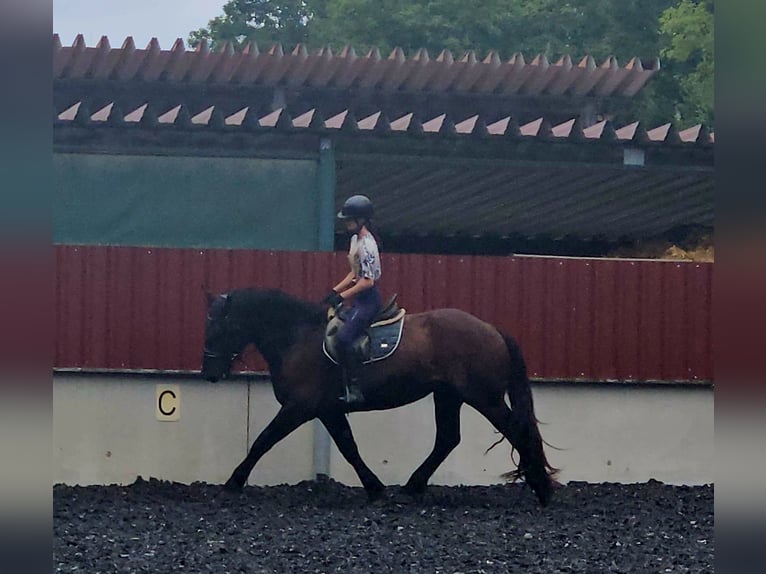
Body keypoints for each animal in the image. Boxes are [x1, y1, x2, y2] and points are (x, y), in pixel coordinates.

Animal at [201, 290, 560, 506]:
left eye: (219, 330)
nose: (209, 373)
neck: (298, 337)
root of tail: (492, 328)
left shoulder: (300, 407)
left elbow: (263, 440)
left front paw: (233, 482)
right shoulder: (328, 410)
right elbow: (348, 447)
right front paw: (375, 488)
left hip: (483, 397)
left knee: (517, 430)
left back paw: (542, 489)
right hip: (448, 395)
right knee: (448, 438)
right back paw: (412, 486)